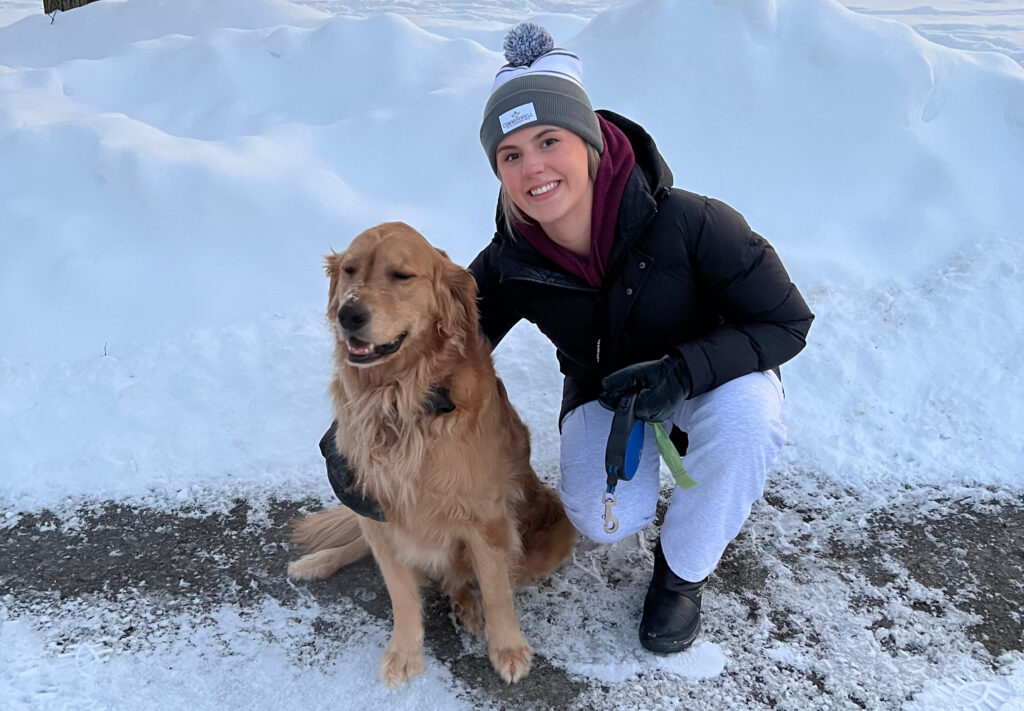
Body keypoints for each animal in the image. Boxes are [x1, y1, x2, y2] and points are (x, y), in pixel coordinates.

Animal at [288, 224, 577, 692]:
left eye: (401, 275)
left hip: (554, 529)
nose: (349, 315)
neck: (400, 397)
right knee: (362, 546)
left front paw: (508, 649)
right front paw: (404, 654)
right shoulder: (380, 512)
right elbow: (401, 595)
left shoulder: (485, 519)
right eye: (350, 270)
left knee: (465, 578)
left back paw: (466, 607)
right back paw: (317, 562)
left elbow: (496, 590)